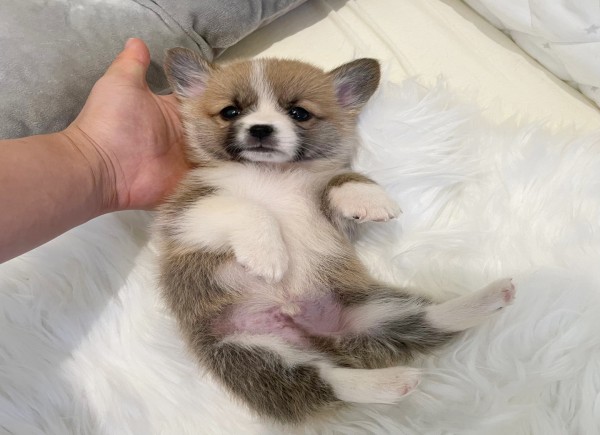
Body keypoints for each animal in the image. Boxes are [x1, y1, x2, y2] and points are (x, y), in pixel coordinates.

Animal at [155, 47, 516, 424]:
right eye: (230, 112)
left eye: (299, 113)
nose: (261, 129)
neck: (272, 173)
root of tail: (318, 334)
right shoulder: (187, 214)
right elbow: (247, 207)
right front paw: (268, 255)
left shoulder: (335, 219)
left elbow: (339, 179)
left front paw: (369, 197)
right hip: (246, 351)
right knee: (319, 383)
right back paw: (391, 382)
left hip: (372, 310)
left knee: (424, 321)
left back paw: (488, 298)